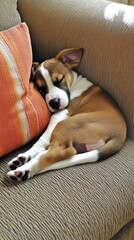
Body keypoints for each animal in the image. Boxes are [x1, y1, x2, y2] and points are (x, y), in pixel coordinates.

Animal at [7, 47, 126, 181]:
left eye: (59, 80)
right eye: (40, 88)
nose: (54, 103)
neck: (74, 83)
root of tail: (119, 138)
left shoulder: (59, 115)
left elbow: (42, 139)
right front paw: (26, 155)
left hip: (66, 124)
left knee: (60, 152)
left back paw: (24, 170)